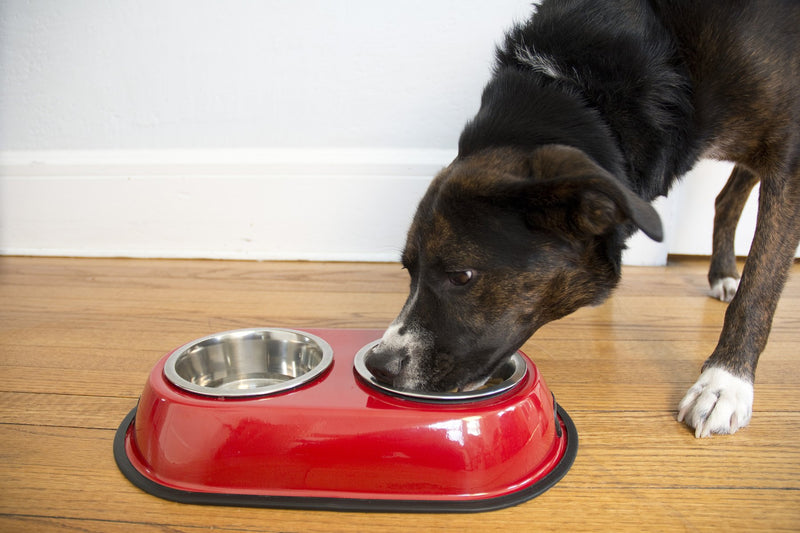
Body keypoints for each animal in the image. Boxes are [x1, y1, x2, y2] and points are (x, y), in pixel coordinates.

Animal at [368, 1, 800, 436]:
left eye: (461, 276)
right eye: (408, 270)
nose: (377, 364)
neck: (584, 92)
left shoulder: (789, 160)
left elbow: (760, 287)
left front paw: (724, 384)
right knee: (727, 198)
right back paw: (723, 272)